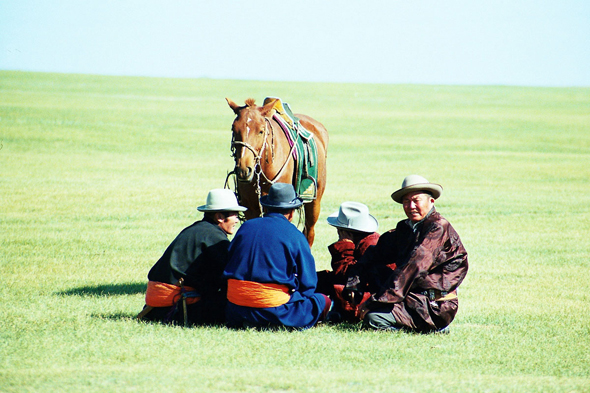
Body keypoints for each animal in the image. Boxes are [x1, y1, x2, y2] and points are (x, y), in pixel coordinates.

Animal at [227, 97, 330, 247]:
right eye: (234, 129)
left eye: (261, 131)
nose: (244, 169)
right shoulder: (251, 208)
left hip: (314, 203)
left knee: (309, 232)